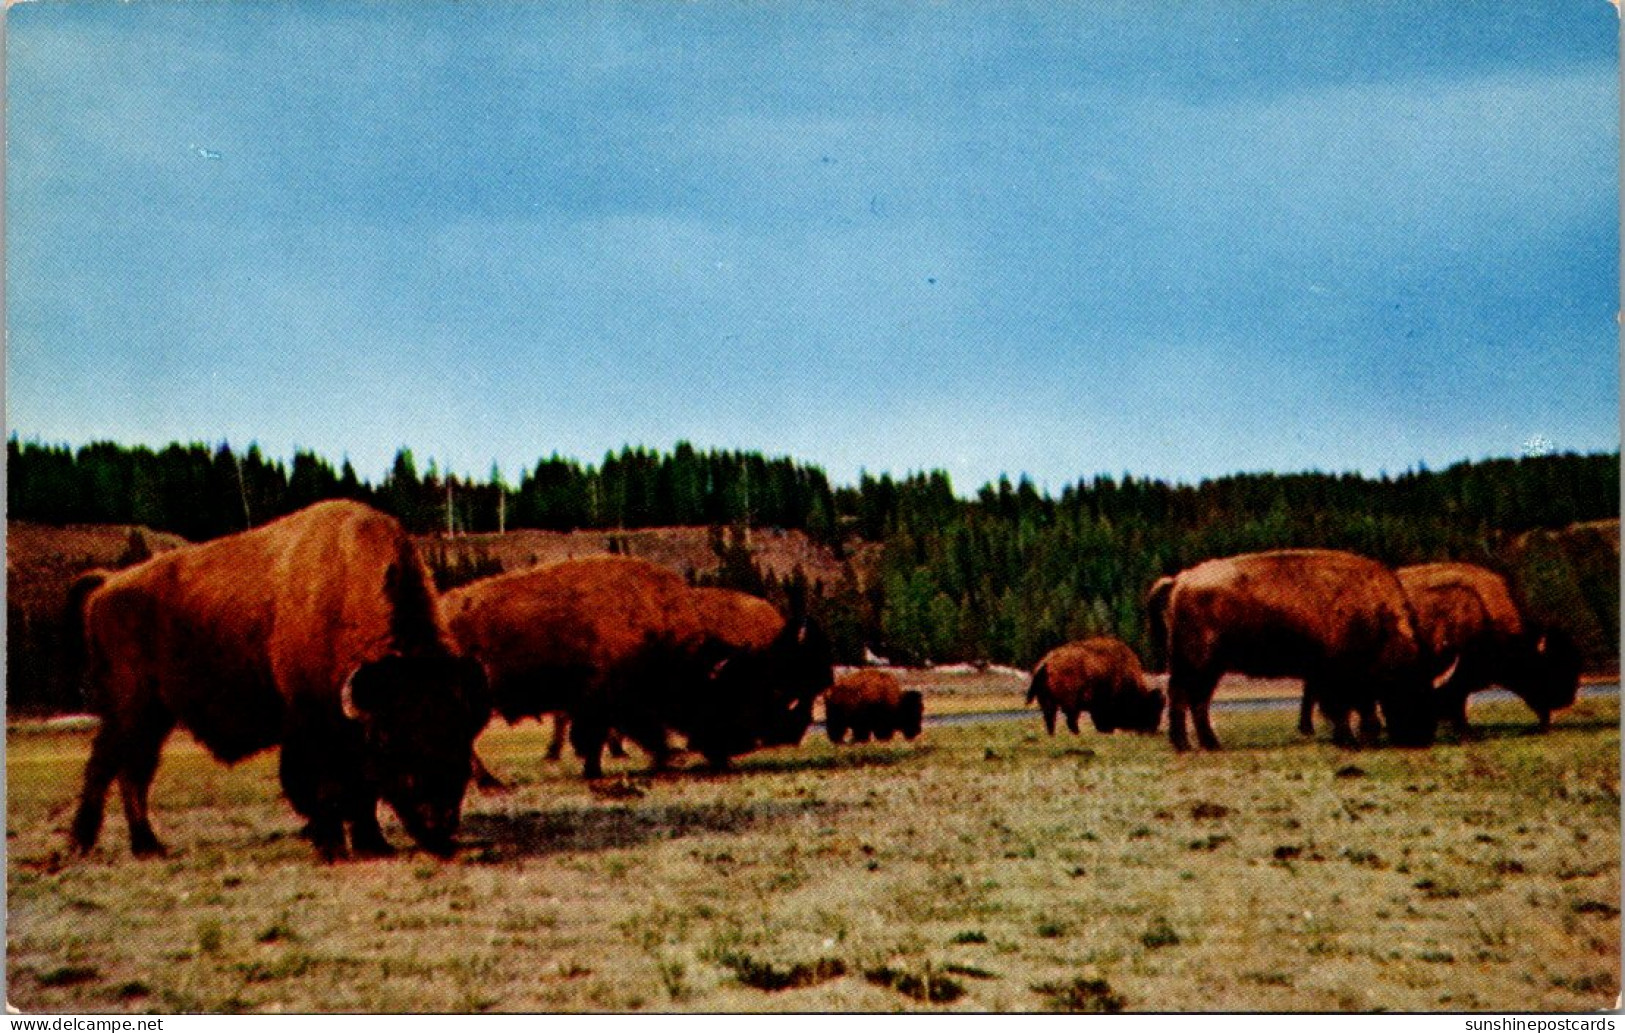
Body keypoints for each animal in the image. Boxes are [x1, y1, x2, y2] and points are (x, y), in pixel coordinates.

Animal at [442, 555, 832, 773]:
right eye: (730, 692)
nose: (740, 745)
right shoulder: (608, 701)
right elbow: (619, 733)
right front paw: (663, 759)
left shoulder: (603, 705)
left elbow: (607, 735)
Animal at [1033, 636, 1163, 734]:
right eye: (1149, 708)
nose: (1152, 729)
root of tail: (1047, 662)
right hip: (1070, 702)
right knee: (1069, 720)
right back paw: (1077, 733)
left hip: (1049, 702)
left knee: (1051, 718)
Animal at [1150, 548, 1443, 750]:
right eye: (1416, 686)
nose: (1421, 737)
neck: (1379, 618)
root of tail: (1181, 579)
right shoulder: (1337, 676)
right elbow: (1343, 708)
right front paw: (1350, 740)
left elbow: (1356, 706)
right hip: (1196, 662)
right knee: (1182, 695)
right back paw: (1185, 745)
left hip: (1210, 666)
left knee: (1198, 700)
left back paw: (1210, 744)